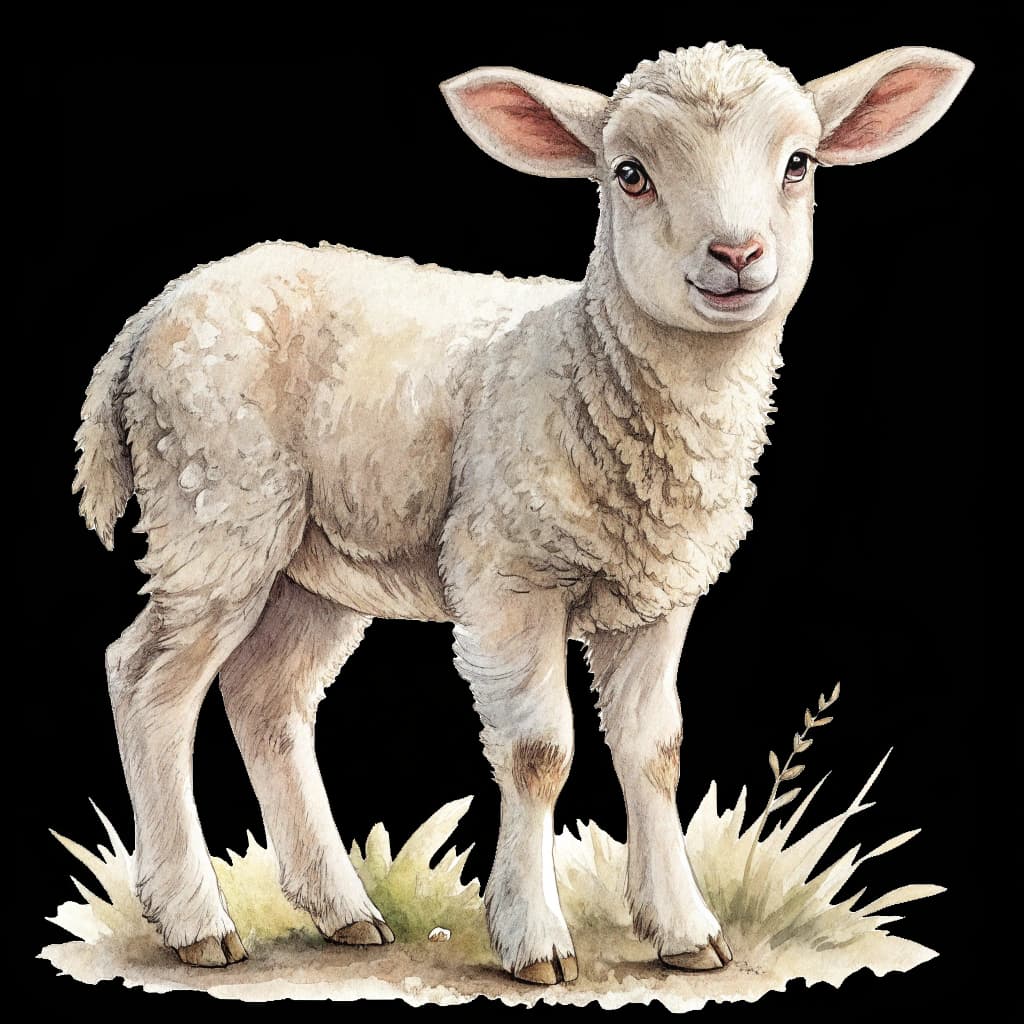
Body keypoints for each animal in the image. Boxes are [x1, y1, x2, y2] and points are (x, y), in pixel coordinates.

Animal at [73, 42, 972, 983]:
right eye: (629, 174)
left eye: (798, 164)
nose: (736, 253)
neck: (592, 366)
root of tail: (152, 316)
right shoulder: (507, 575)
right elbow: (542, 754)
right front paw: (535, 939)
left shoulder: (657, 595)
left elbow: (655, 752)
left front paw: (686, 931)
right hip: (215, 507)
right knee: (148, 682)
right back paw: (196, 921)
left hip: (311, 563)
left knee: (265, 698)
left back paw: (342, 910)